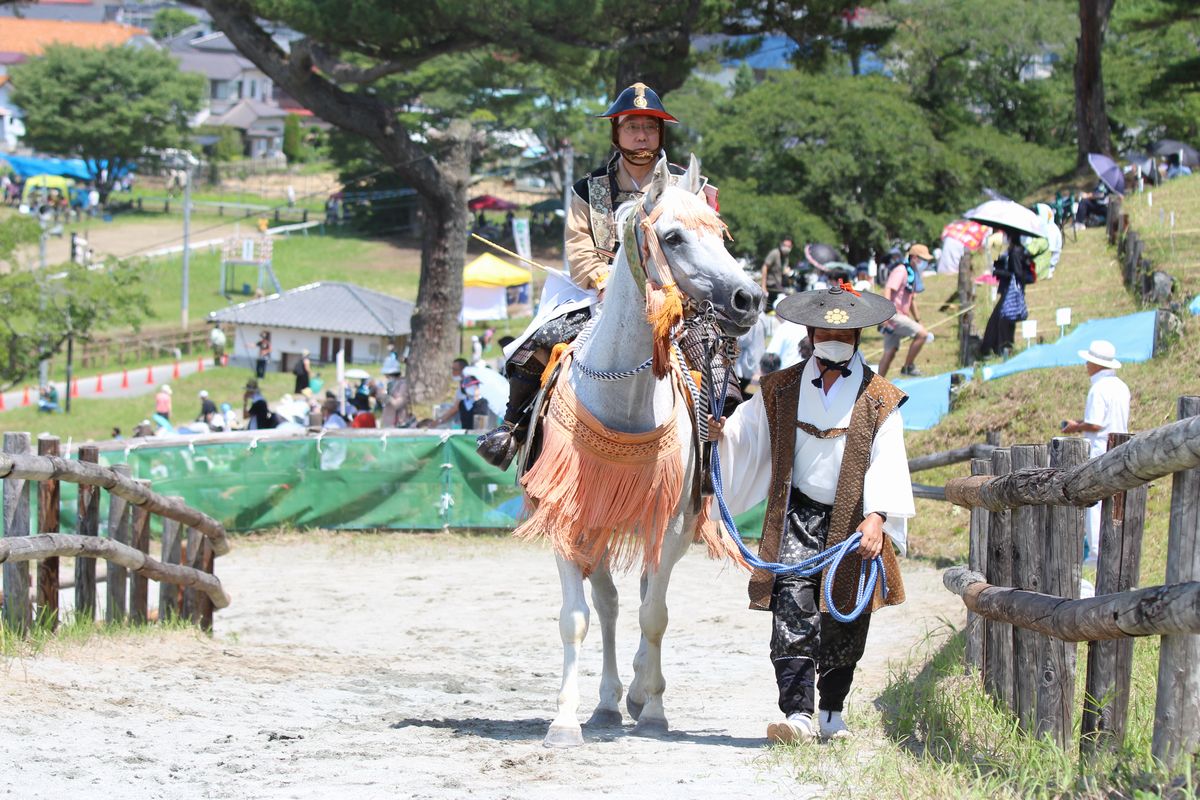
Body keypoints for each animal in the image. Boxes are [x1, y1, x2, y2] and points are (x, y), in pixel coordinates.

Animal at [518, 154, 763, 743]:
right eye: (672, 236)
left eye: (720, 232)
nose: (748, 299)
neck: (622, 398)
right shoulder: (569, 517)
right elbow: (577, 618)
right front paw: (564, 720)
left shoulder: (670, 523)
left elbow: (656, 614)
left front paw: (653, 710)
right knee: (607, 605)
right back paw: (607, 702)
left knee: (647, 596)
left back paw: (636, 693)